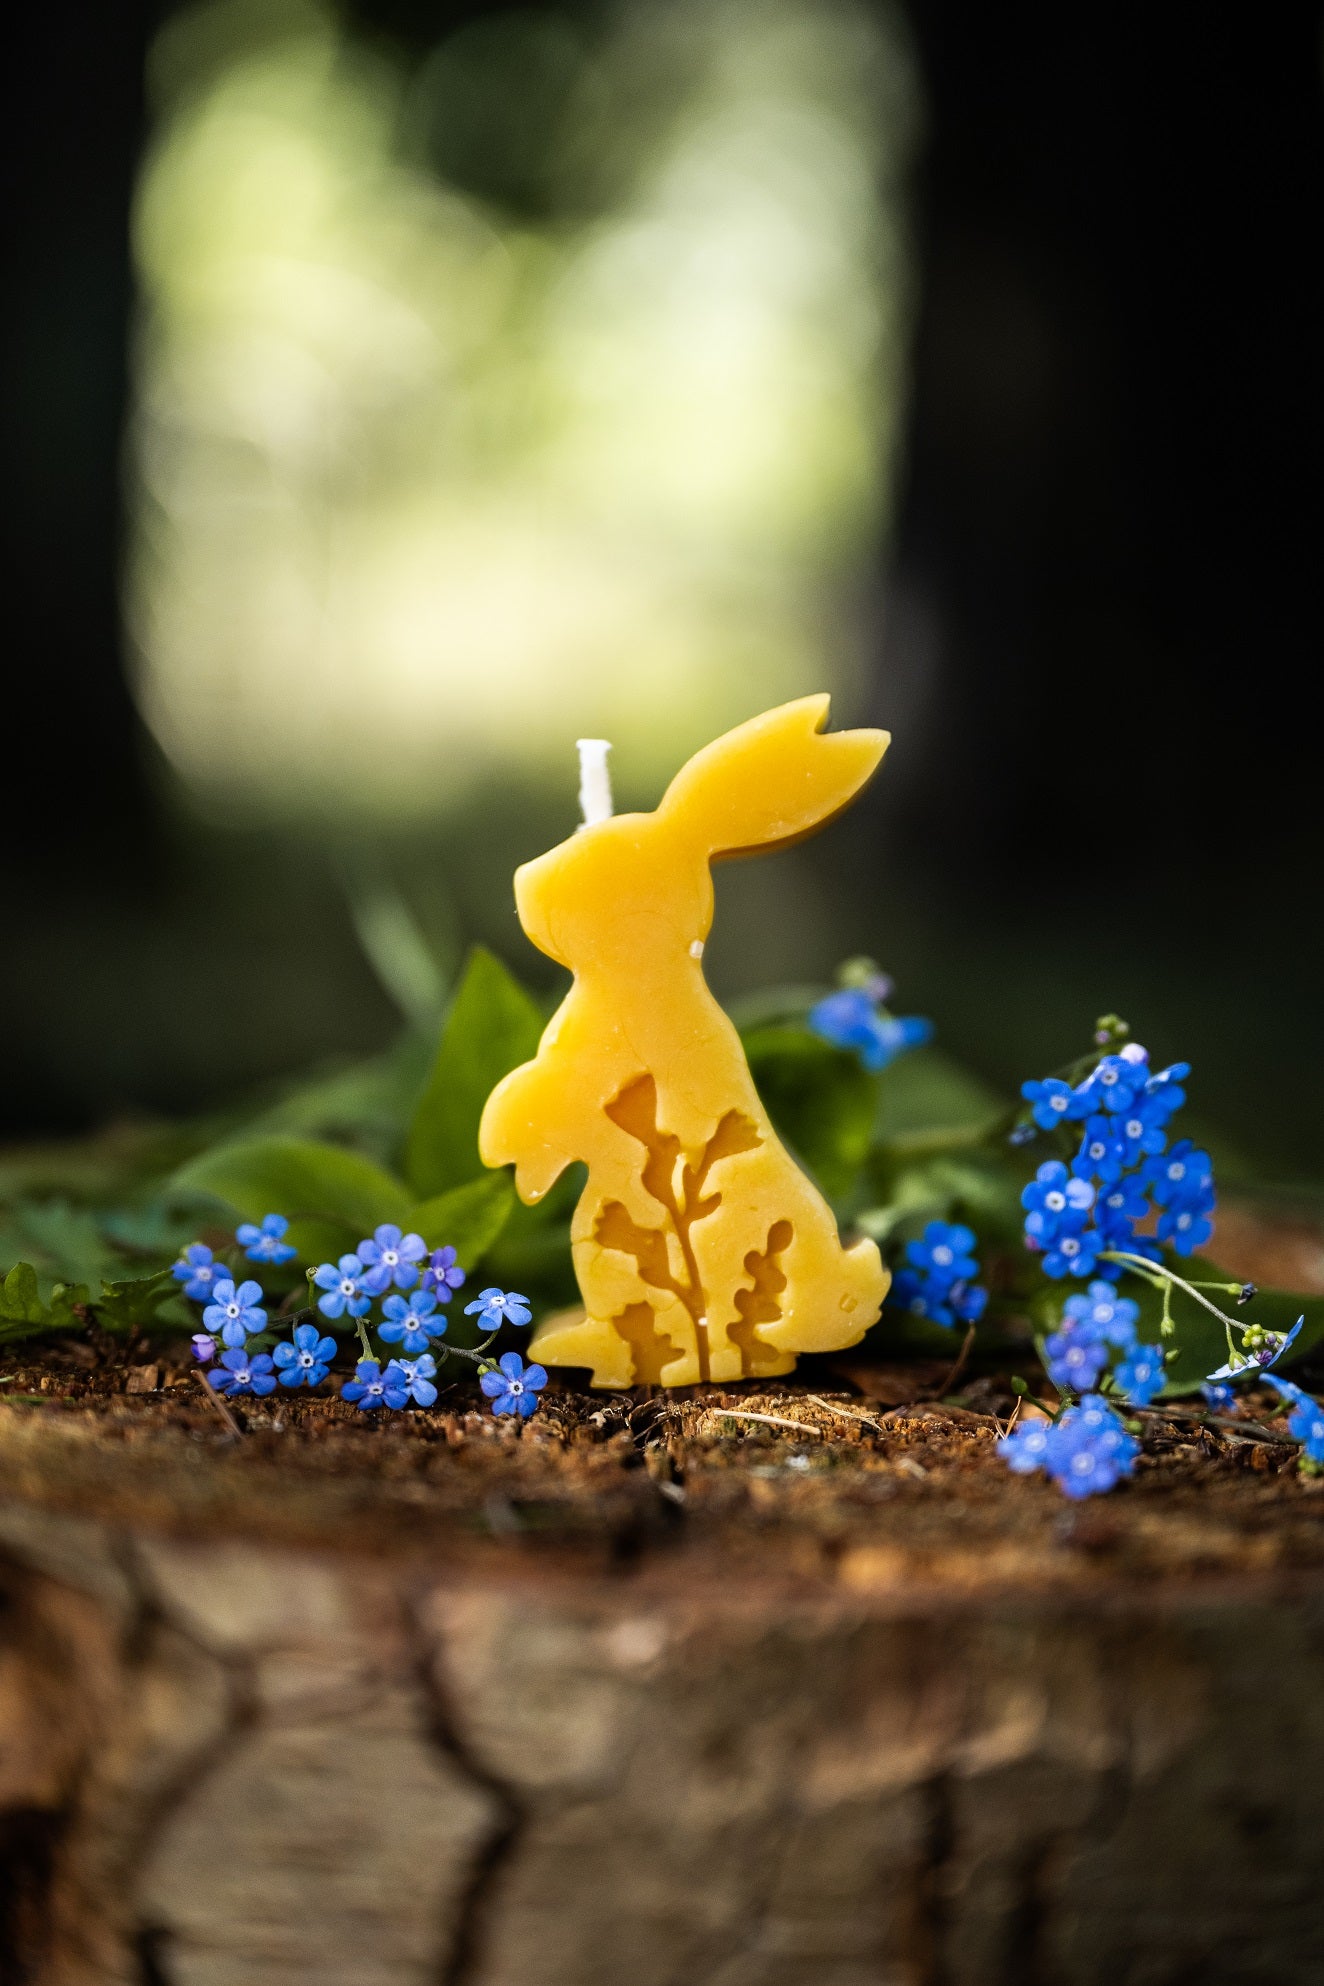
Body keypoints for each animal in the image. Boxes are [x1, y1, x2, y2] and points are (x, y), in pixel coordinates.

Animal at [479, 695, 891, 1388]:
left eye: (589, 861)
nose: (522, 881)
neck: (642, 972)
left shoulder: (599, 1066)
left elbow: (551, 1100)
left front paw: (505, 1150)